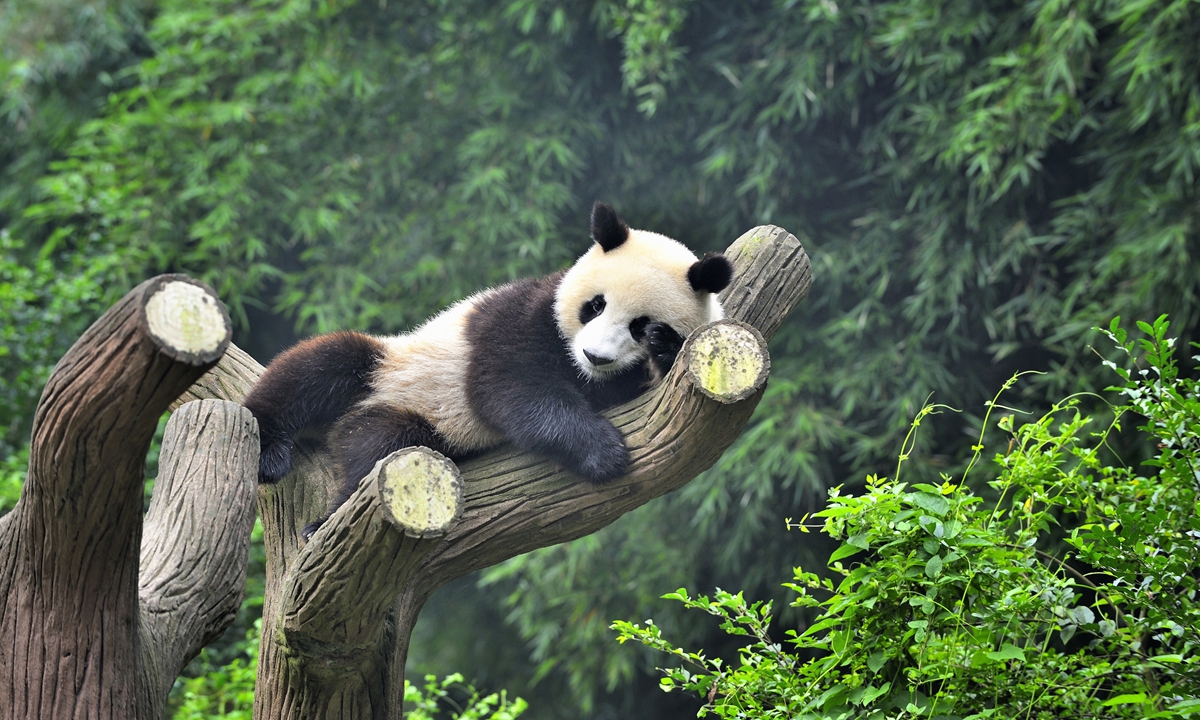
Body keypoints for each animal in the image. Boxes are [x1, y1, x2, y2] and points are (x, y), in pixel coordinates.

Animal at [243, 202, 734, 538]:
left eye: (639, 325)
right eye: (595, 305)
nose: (595, 356)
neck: (578, 368)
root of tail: (348, 424)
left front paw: (664, 350)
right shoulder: (517, 318)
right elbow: (511, 388)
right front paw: (603, 452)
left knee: (380, 441)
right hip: (392, 369)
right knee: (320, 369)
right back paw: (290, 478)